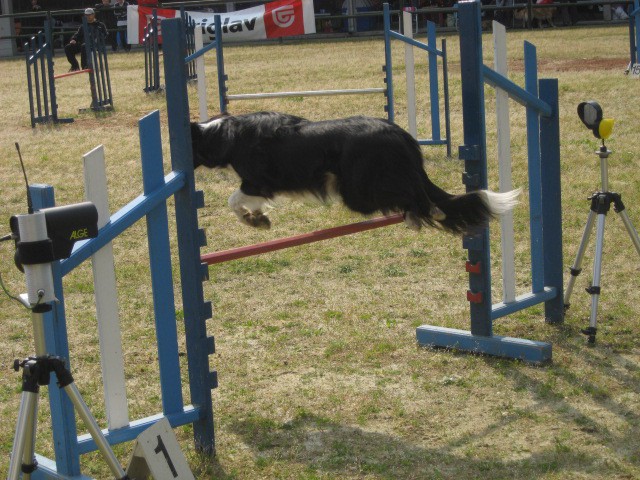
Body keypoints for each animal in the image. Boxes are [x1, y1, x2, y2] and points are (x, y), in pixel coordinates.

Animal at [190, 110, 520, 234]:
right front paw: (259, 217)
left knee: (417, 197)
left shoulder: (257, 182)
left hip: (358, 190)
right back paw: (417, 214)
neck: (224, 134)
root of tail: (399, 134)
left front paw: (253, 219)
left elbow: (233, 200)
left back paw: (423, 212)